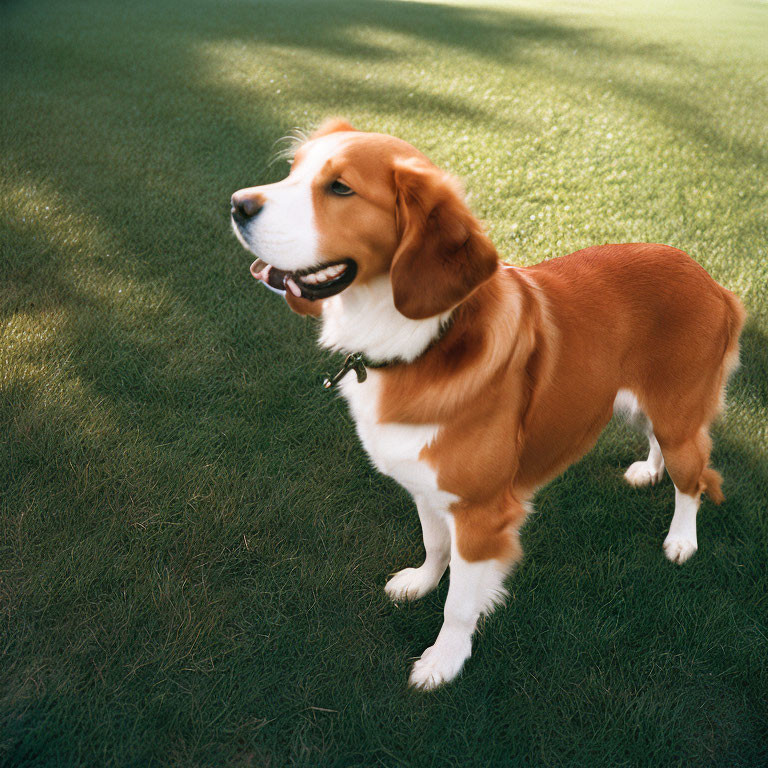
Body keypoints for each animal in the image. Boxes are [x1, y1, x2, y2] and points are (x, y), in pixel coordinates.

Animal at [231, 118, 748, 688]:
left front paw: (444, 659)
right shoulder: (427, 485)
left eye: (340, 188)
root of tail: (712, 281)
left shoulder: (482, 515)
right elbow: (436, 546)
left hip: (679, 414)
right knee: (660, 442)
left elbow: (460, 602)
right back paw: (649, 470)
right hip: (643, 402)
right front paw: (421, 581)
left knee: (693, 477)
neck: (417, 341)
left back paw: (682, 538)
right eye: (292, 170)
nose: (237, 204)